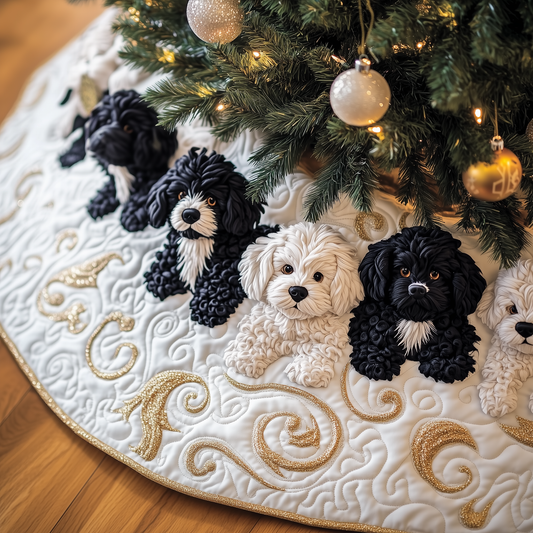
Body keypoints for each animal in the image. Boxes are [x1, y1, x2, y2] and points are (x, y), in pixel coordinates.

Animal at [60, 89, 177, 231]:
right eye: (107, 120)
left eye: (128, 128)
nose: (103, 135)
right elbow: (113, 182)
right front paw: (101, 201)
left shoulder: (158, 170)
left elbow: (145, 192)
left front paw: (133, 213)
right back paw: (70, 156)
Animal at [145, 148, 278, 326]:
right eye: (181, 194)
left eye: (211, 200)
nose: (189, 214)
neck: (200, 240)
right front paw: (161, 276)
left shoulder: (231, 263)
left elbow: (218, 282)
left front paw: (208, 307)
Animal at [222, 220, 364, 386]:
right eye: (287, 268)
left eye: (318, 276)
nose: (297, 291)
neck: (294, 321)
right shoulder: (264, 320)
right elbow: (256, 337)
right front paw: (245, 357)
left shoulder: (329, 333)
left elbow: (320, 348)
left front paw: (308, 370)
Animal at [350, 224, 486, 382]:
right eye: (404, 271)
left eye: (435, 274)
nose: (417, 290)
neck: (415, 317)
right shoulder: (373, 318)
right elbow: (375, 335)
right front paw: (375, 364)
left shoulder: (453, 326)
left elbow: (450, 339)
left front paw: (447, 365)